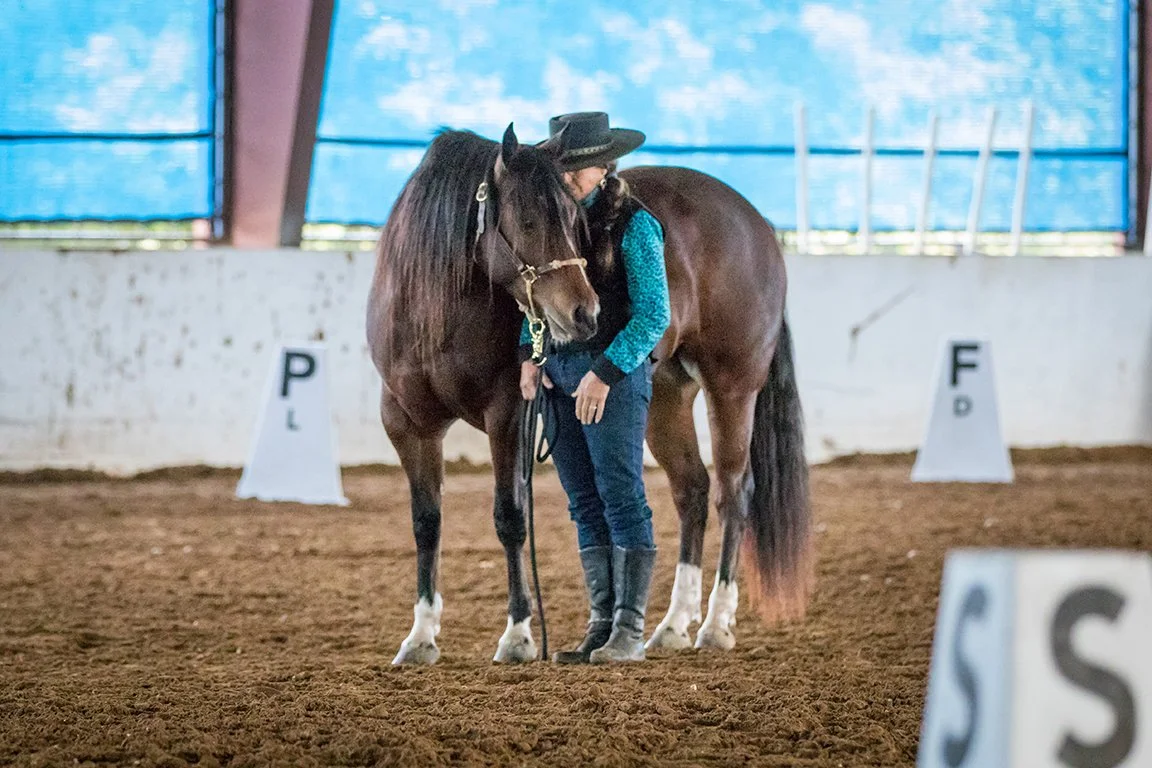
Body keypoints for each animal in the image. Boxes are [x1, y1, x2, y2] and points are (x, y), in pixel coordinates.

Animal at [367, 124, 811, 664]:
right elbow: (426, 523)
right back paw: (672, 626)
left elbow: (510, 517)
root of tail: (757, 222)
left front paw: (518, 636)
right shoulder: (405, 423)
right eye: (529, 220)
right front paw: (420, 636)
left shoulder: (508, 415)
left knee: (734, 492)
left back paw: (715, 624)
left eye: (573, 220)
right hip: (666, 397)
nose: (584, 313)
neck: (435, 312)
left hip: (733, 386)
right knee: (692, 492)